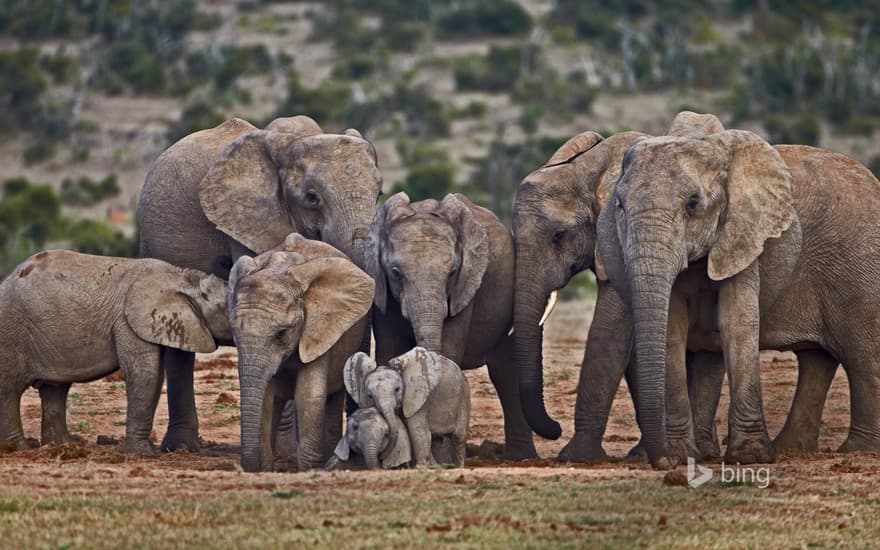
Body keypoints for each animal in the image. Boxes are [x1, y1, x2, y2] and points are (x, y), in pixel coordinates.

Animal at [0, 250, 230, 452]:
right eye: (225, 308)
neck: (183, 277)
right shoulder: (127, 322)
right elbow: (143, 373)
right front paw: (141, 453)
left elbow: (154, 376)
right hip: (12, 330)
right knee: (10, 389)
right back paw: (19, 448)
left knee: (55, 389)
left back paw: (62, 446)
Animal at [225, 235, 372, 472]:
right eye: (233, 332)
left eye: (282, 333)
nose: (246, 466)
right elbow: (265, 397)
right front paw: (264, 469)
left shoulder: (318, 330)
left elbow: (308, 395)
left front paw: (310, 470)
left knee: (332, 397)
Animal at [366, 192, 536, 460]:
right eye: (395, 273)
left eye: (453, 272)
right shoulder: (382, 292)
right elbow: (389, 348)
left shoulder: (465, 289)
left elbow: (449, 348)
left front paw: (441, 456)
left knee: (505, 370)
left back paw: (520, 457)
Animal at [600, 129, 880, 470]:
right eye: (620, 206)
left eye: (693, 203)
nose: (663, 461)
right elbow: (672, 328)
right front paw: (684, 456)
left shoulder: (745, 234)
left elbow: (738, 320)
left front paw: (749, 457)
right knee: (817, 358)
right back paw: (791, 449)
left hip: (858, 266)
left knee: (861, 356)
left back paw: (858, 450)